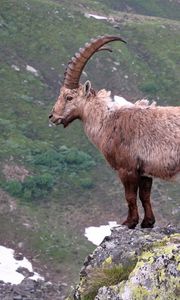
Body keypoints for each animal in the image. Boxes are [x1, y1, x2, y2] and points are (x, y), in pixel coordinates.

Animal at [49, 35, 180, 229]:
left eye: (69, 97)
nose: (53, 116)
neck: (108, 121)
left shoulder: (126, 168)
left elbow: (130, 196)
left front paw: (129, 222)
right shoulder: (145, 171)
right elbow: (145, 196)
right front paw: (147, 222)